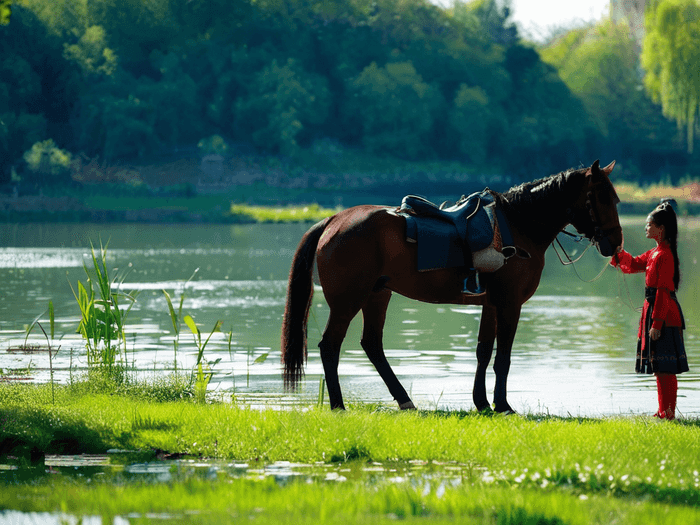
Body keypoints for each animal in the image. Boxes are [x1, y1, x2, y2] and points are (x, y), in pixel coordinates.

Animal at [282, 158, 620, 412]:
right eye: (601, 198)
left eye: (615, 198)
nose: (615, 243)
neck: (519, 226)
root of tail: (334, 220)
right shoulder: (509, 304)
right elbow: (503, 357)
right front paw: (502, 405)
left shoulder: (491, 304)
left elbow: (484, 351)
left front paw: (482, 403)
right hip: (349, 299)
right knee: (330, 346)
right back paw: (338, 405)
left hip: (377, 294)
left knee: (372, 345)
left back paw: (405, 400)